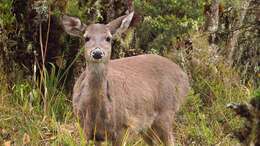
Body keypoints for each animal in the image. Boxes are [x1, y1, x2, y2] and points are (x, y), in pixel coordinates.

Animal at [62, 11, 190, 146]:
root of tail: (184, 76)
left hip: (166, 111)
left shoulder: (122, 127)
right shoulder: (86, 130)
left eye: (108, 38)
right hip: (147, 126)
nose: (97, 53)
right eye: (86, 38)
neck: (95, 111)